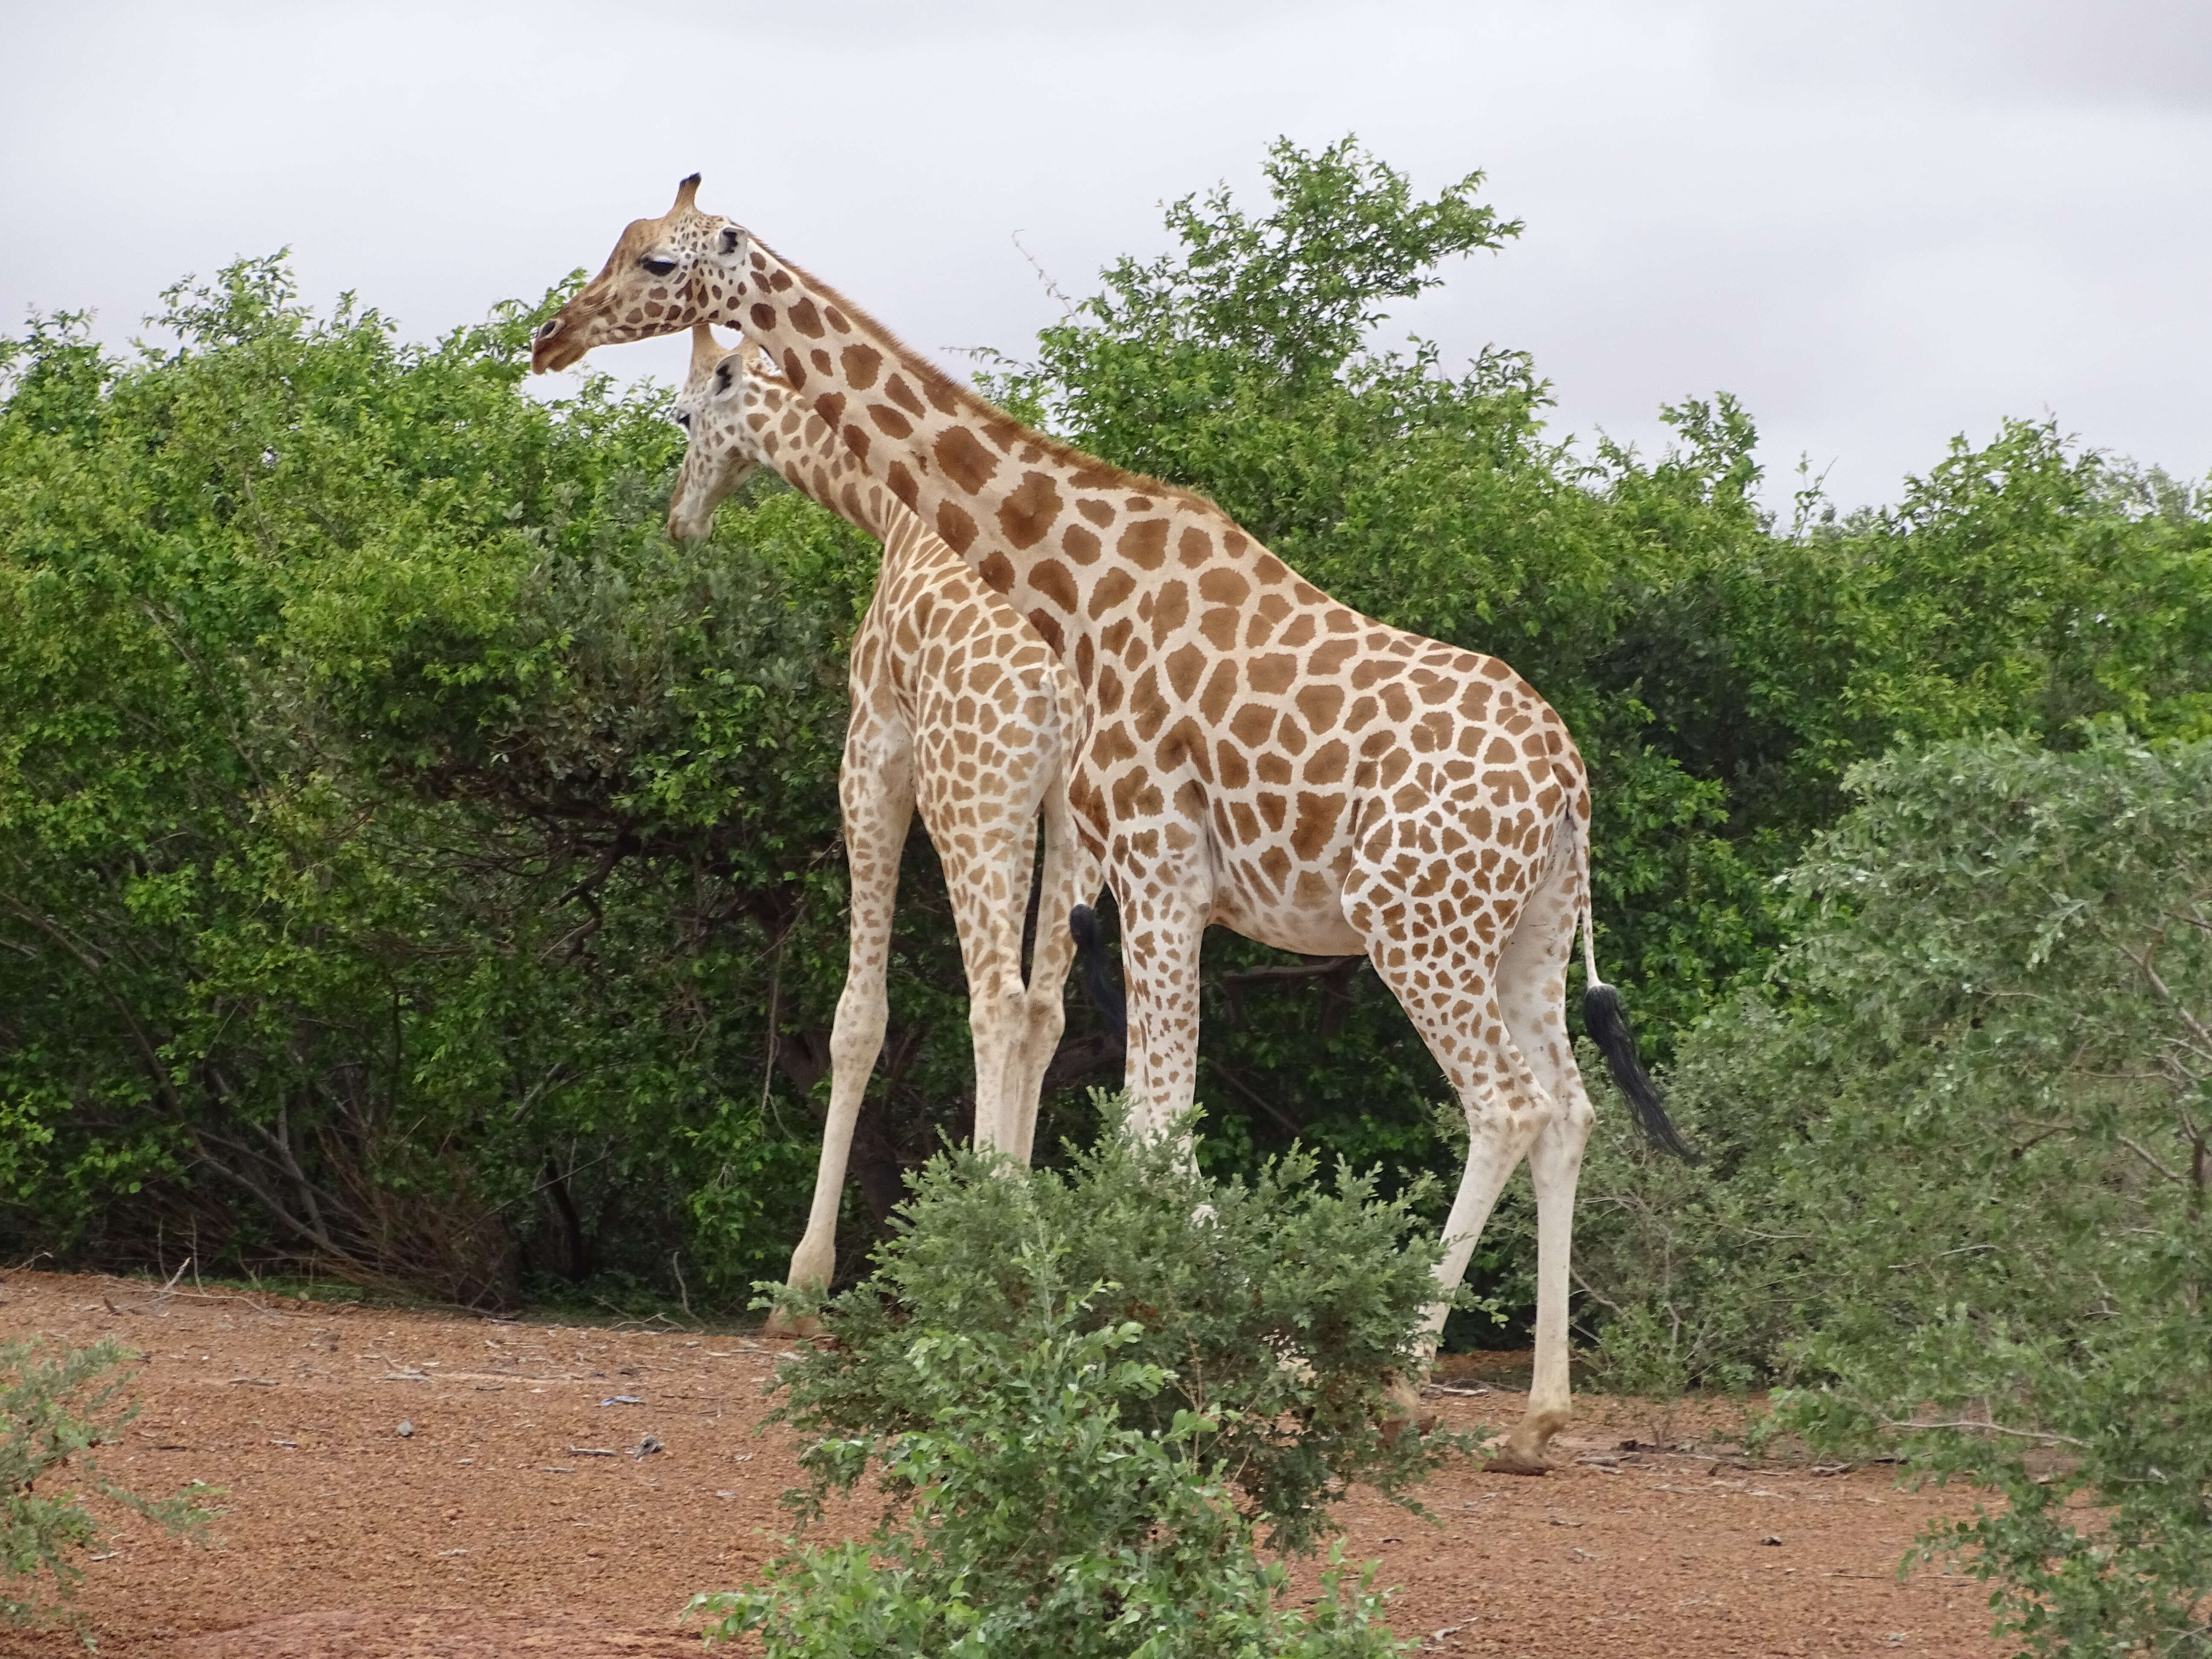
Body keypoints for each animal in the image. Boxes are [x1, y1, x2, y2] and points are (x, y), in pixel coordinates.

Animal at [535, 179, 1690, 1477]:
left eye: (660, 269)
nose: (549, 339)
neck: (1071, 577)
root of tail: (1568, 782)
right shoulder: (1128, 858)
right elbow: (1131, 1101)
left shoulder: (1124, 845)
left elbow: (1127, 1108)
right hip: (1525, 933)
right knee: (1571, 1107)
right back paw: (1538, 1414)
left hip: (1409, 924)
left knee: (1503, 1104)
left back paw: (1387, 1381)